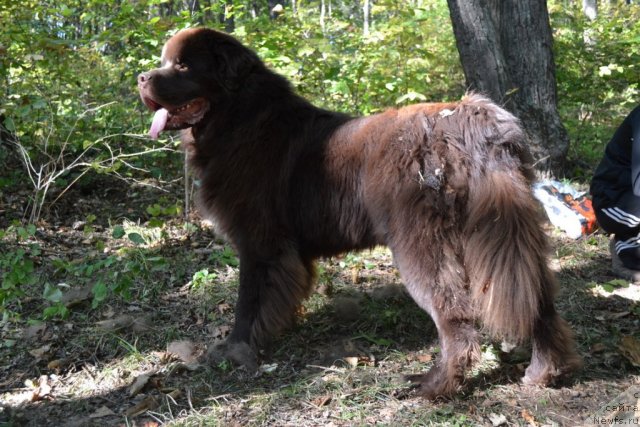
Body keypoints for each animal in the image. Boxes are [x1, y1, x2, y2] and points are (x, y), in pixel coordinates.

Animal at [139, 28, 580, 400]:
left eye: (183, 66)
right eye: (164, 61)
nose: (142, 77)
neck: (238, 119)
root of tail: (473, 122)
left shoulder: (258, 243)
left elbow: (248, 302)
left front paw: (234, 349)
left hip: (421, 246)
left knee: (457, 319)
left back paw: (435, 386)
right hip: (502, 232)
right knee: (538, 300)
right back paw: (543, 372)